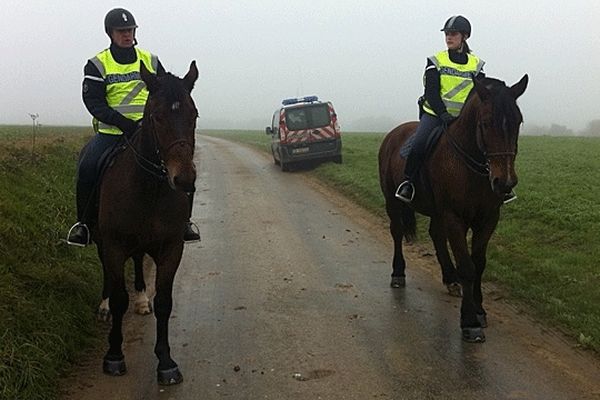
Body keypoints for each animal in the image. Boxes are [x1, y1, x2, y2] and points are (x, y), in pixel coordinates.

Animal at [92, 60, 199, 384]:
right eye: (157, 116)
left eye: (193, 115)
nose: (184, 179)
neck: (149, 188)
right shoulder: (114, 245)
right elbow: (118, 299)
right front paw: (114, 355)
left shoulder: (172, 248)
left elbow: (164, 302)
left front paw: (165, 361)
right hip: (102, 242)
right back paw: (104, 307)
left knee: (139, 262)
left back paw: (141, 300)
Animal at [380, 74, 528, 340]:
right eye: (486, 123)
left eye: (518, 121)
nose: (505, 182)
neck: (470, 166)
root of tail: (393, 134)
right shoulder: (454, 217)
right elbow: (467, 266)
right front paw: (469, 321)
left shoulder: (488, 218)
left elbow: (478, 263)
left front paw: (479, 309)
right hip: (393, 201)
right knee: (397, 232)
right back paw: (398, 273)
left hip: (437, 212)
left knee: (436, 236)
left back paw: (450, 278)